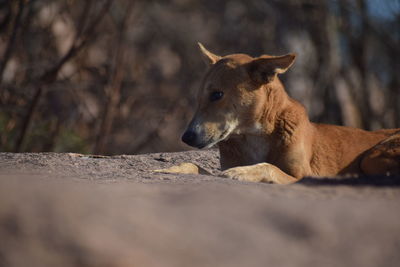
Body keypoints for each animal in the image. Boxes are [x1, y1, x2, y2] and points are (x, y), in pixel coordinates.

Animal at [158, 43, 398, 184]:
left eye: (217, 94)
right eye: (198, 98)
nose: (186, 137)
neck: (253, 136)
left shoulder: (305, 176)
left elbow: (268, 166)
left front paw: (242, 172)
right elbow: (193, 165)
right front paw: (170, 169)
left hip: (372, 157)